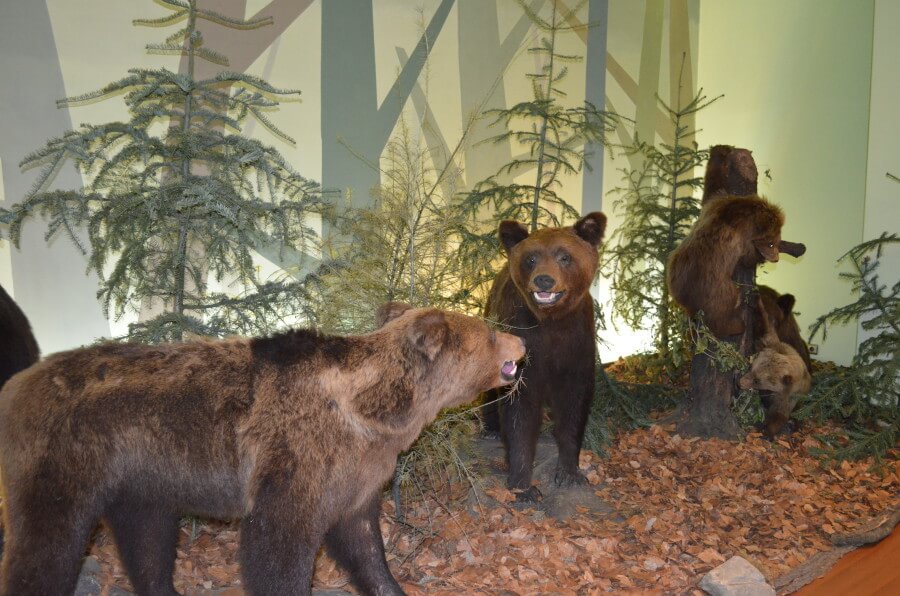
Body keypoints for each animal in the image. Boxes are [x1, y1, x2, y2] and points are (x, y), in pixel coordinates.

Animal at [0, 303, 525, 596]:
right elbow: (276, 550)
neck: (376, 414)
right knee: (46, 545)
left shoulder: (356, 477)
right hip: (66, 462)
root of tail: (16, 384)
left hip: (141, 476)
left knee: (147, 542)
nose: (520, 341)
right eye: (488, 330)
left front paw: (390, 586)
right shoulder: (296, 462)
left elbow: (364, 546)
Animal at [481, 212, 606, 501]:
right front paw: (522, 484)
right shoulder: (524, 338)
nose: (544, 280)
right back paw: (490, 428)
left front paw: (570, 473)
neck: (551, 322)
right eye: (531, 258)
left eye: (564, 256)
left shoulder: (576, 345)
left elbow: (574, 406)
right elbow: (520, 410)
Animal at [667, 195, 784, 339]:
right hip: (719, 289)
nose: (776, 259)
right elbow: (747, 258)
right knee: (720, 316)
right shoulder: (741, 240)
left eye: (778, 242)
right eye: (771, 243)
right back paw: (739, 322)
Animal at [739, 302, 812, 439]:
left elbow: (779, 414)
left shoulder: (788, 395)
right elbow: (765, 326)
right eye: (751, 367)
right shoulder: (772, 343)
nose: (739, 383)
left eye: (757, 380)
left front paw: (767, 431)